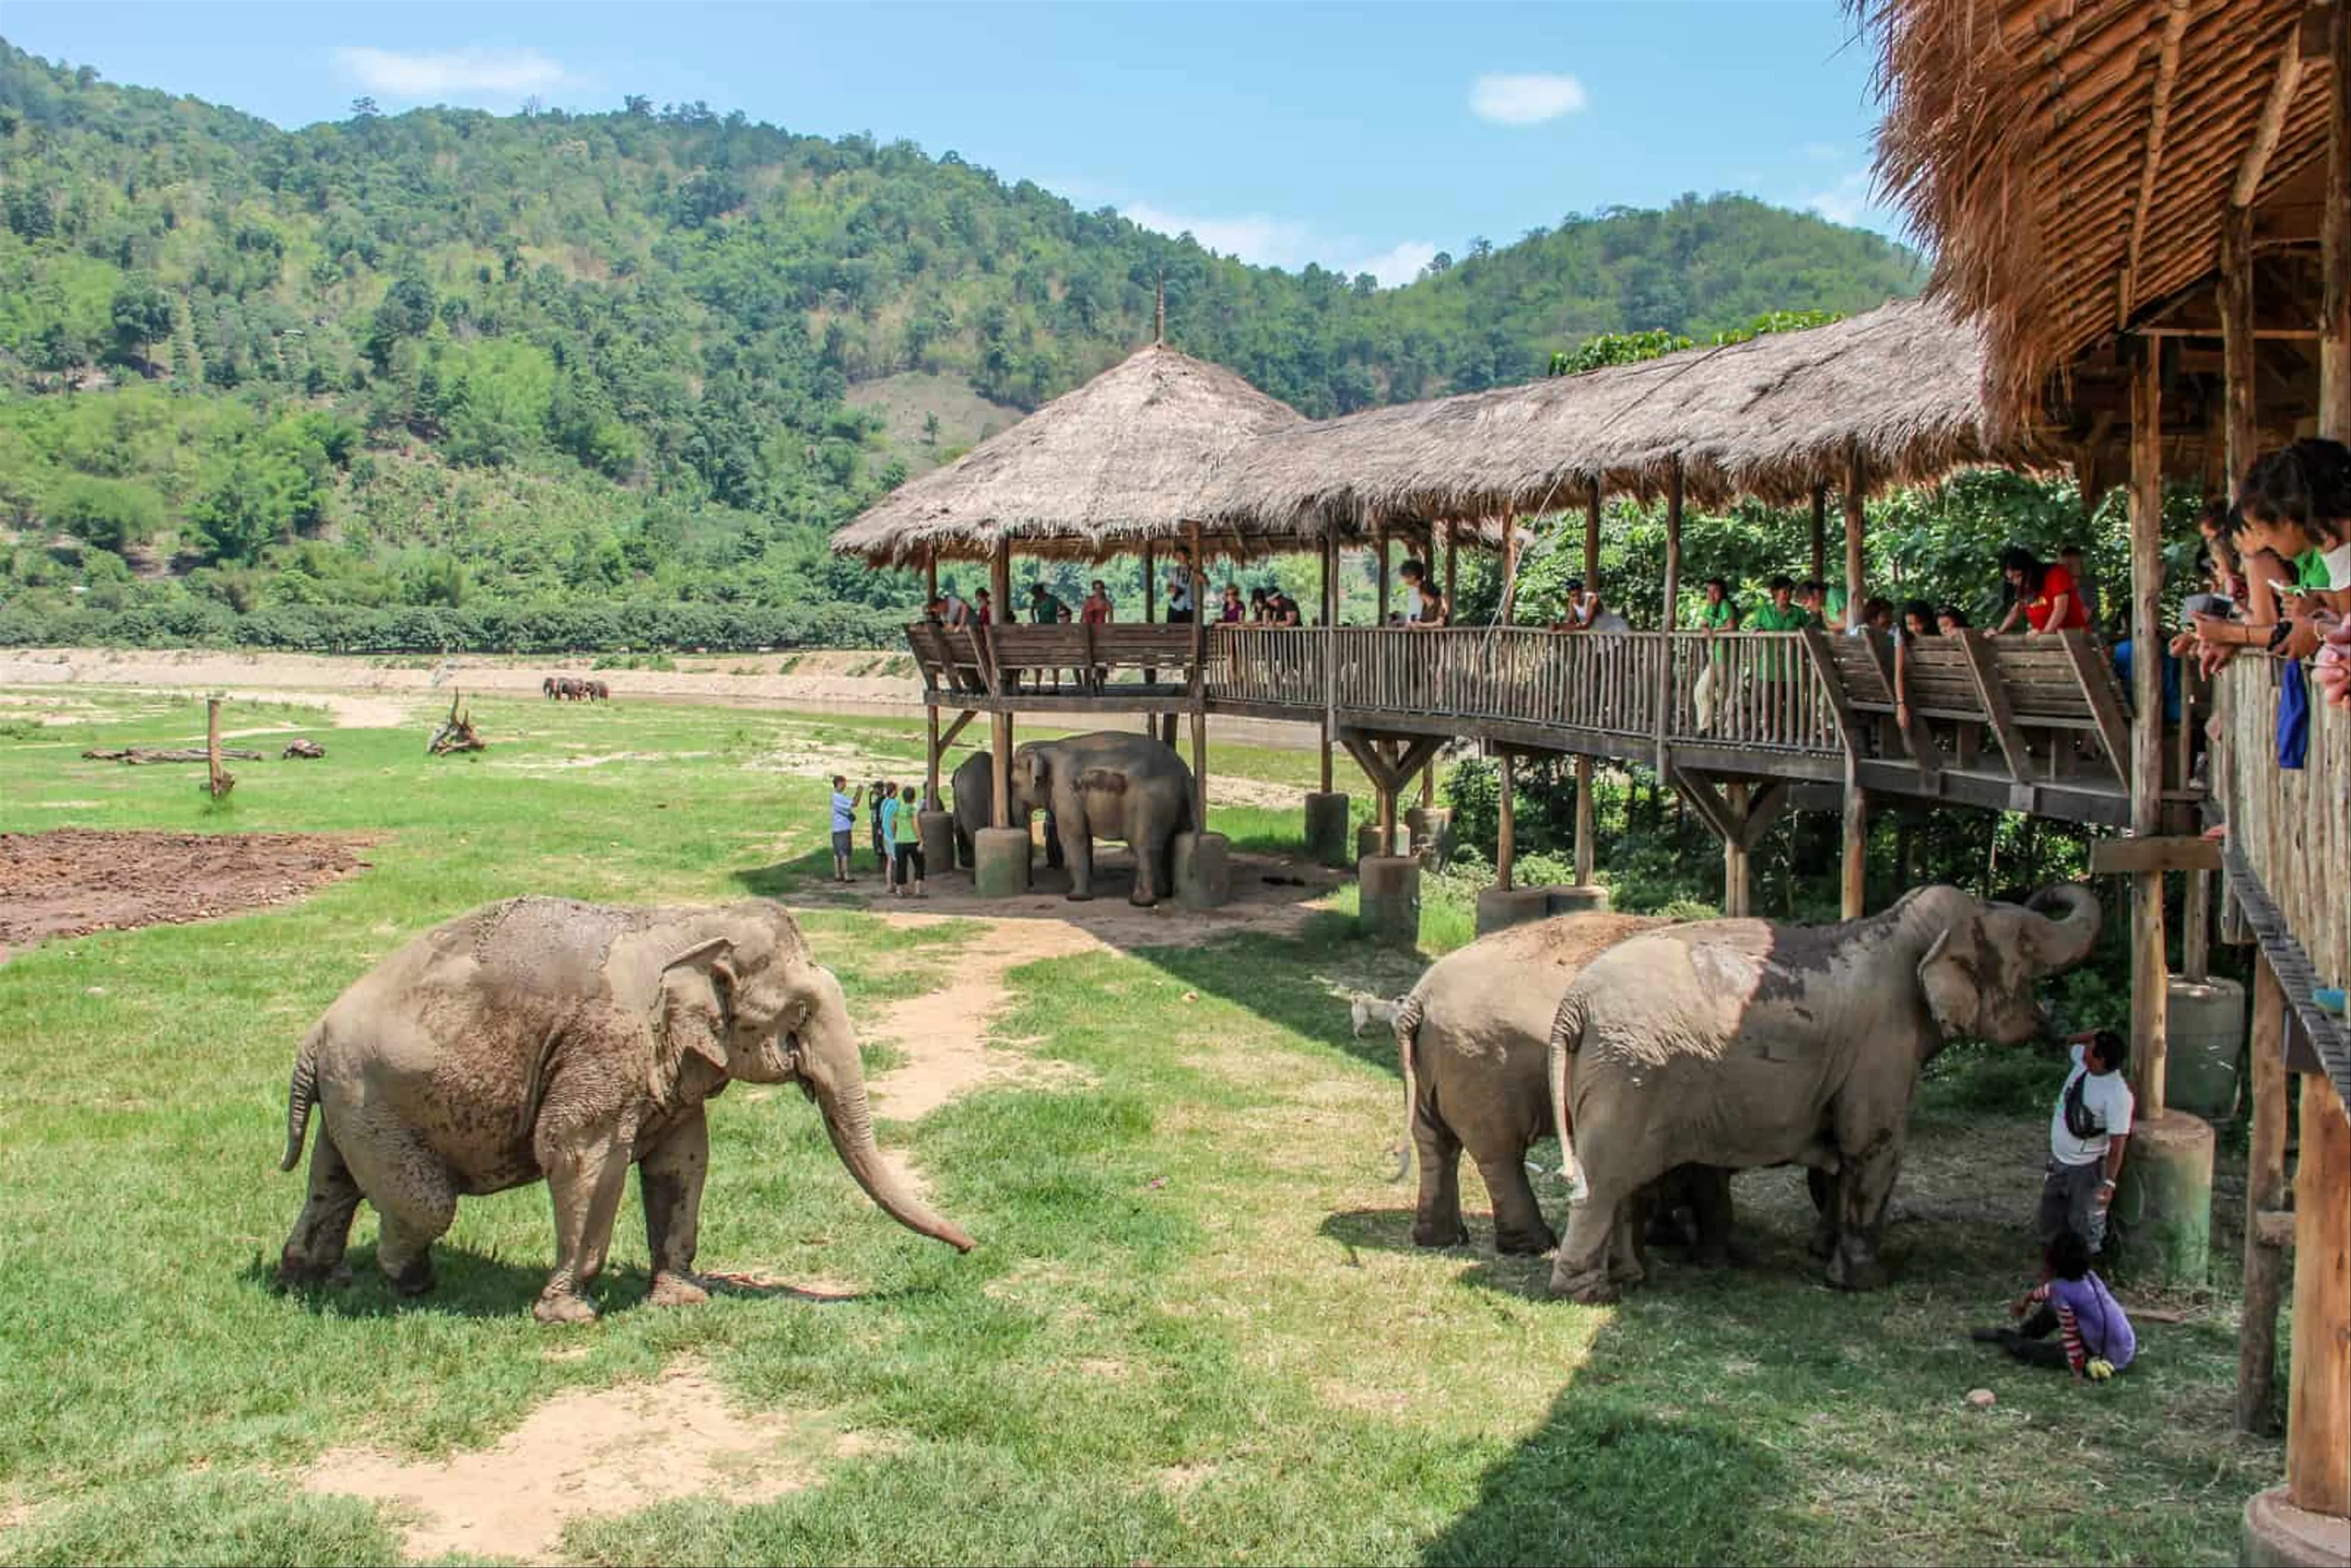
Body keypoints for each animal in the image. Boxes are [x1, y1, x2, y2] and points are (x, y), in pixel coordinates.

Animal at [275, 896, 974, 1324]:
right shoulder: (605, 1043)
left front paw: (683, 1298)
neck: (687, 924)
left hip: (354, 1101)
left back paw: (310, 1279)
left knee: (332, 1185)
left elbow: (684, 1158)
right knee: (425, 1204)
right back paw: (409, 1281)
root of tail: (311, 1037)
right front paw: (570, 1313)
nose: (972, 1246)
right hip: (372, 1096)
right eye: (798, 1015)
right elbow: (579, 1152)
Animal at [1007, 731, 1196, 905]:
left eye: (1014, 784)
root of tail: (1185, 772)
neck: (1046, 746)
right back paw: (1161, 894)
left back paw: (1141, 902)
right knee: (1169, 842)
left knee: (1144, 846)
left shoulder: (1065, 791)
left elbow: (1073, 836)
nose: (1032, 887)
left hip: (1150, 803)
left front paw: (1076, 898)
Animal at [1393, 911, 1669, 1254]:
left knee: (1434, 1140)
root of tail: (1420, 998)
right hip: (1484, 1067)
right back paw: (1533, 1245)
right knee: (1500, 1153)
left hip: (1430, 1064)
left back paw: (1441, 1239)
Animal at [1543, 882, 2100, 1303]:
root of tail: (1573, 1004)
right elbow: (1874, 1148)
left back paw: (1629, 1276)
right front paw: (1867, 1283)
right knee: (1606, 1180)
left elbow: (1840, 1161)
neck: (1899, 929)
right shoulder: (1882, 1046)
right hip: (1628, 1076)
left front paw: (1822, 1253)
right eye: (2027, 943)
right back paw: (1591, 1293)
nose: (2044, 889)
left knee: (1622, 1184)